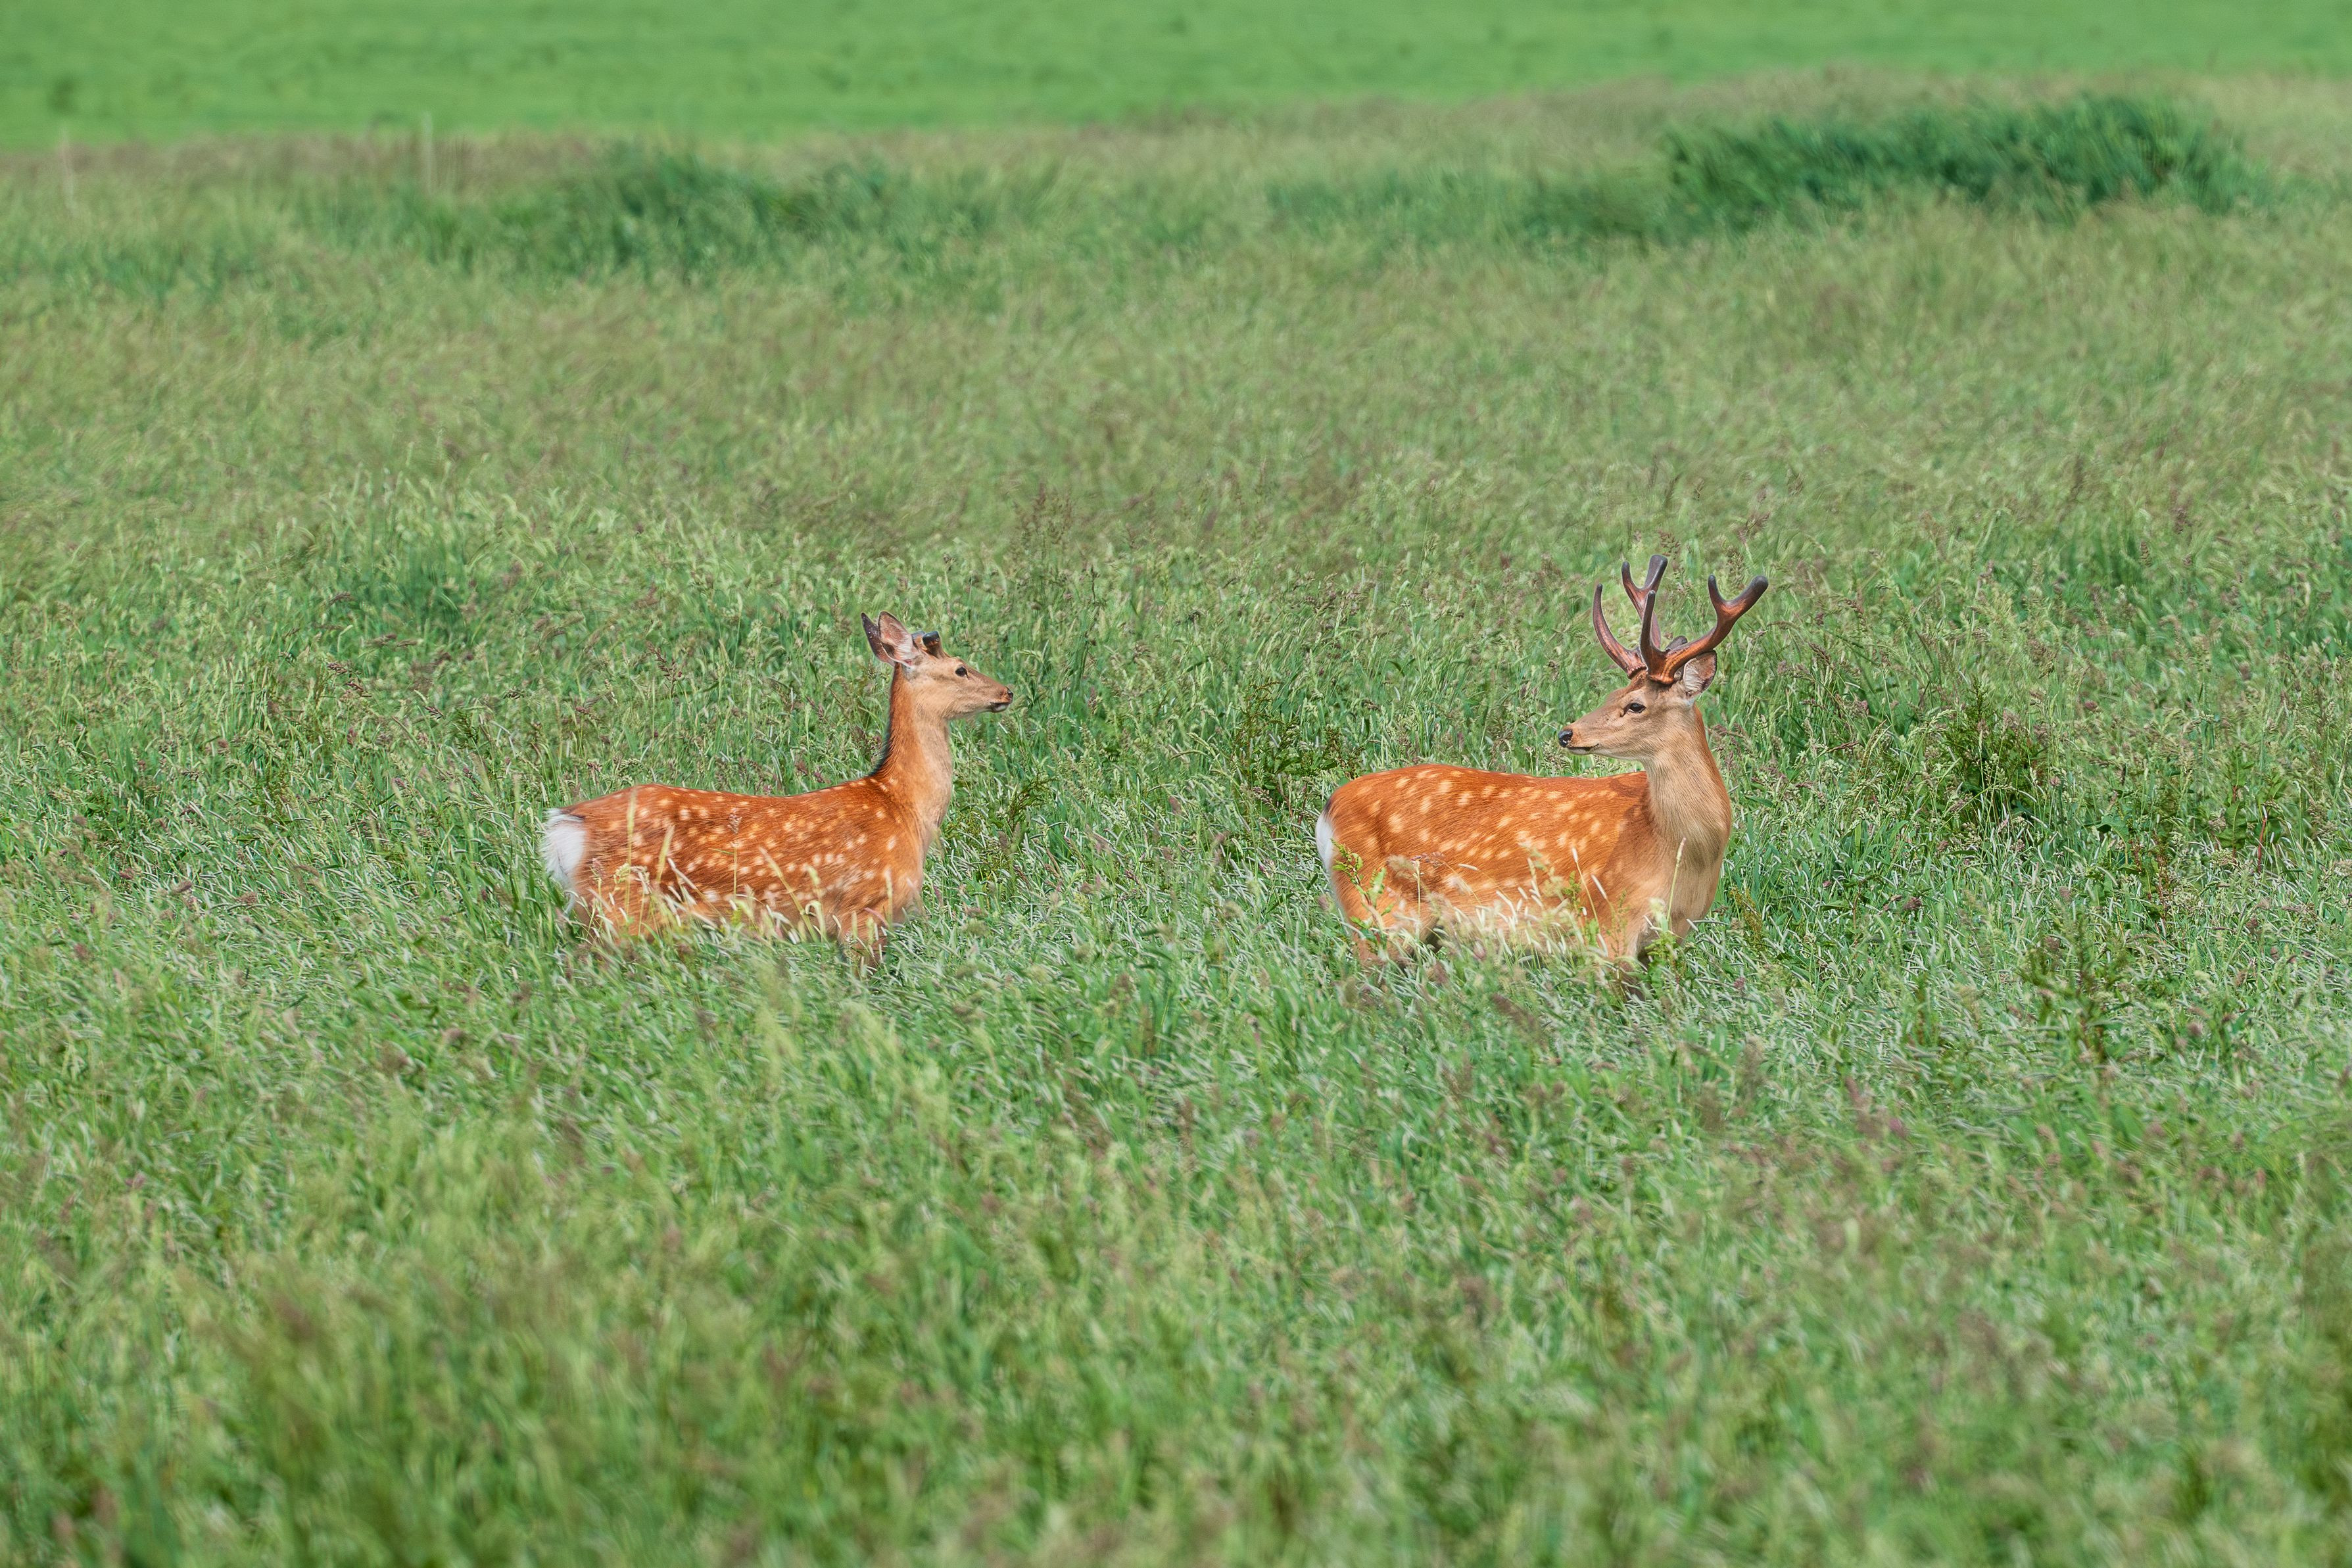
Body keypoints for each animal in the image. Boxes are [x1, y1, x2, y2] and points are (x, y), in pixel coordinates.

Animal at [540, 612, 1012, 952]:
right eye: (961, 668)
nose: (1007, 691)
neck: (903, 807)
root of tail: (569, 824)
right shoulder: (863, 905)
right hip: (623, 908)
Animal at [1316, 556, 1767, 965]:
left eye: (1635, 704)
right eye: (1613, 696)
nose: (1568, 733)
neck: (1680, 849)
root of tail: (1330, 808)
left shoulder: (1668, 940)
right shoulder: (1607, 923)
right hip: (1381, 912)